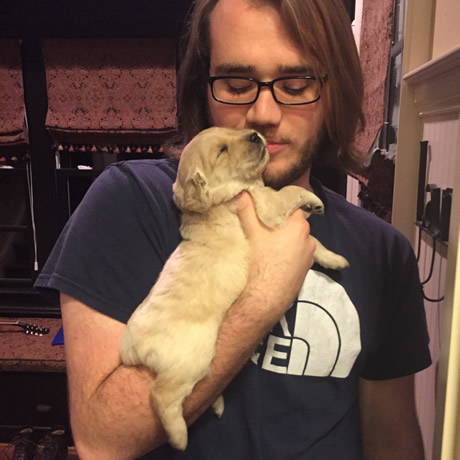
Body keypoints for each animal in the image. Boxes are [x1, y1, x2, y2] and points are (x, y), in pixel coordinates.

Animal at [120, 127, 348, 450]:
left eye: (235, 133)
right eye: (222, 151)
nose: (254, 134)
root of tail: (131, 350)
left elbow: (316, 244)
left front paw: (334, 259)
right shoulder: (266, 206)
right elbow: (289, 193)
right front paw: (312, 199)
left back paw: (214, 404)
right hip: (193, 358)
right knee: (162, 394)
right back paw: (179, 437)